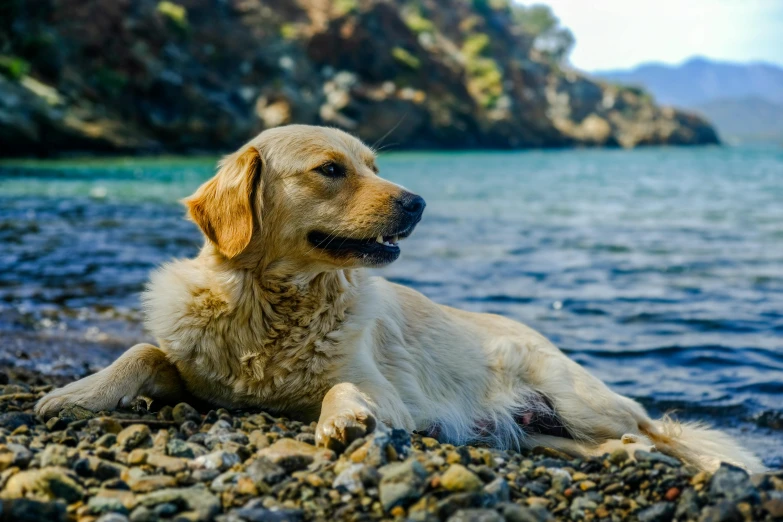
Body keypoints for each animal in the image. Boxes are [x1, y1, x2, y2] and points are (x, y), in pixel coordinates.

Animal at [36, 125, 764, 472]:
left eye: (374, 167)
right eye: (331, 169)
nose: (418, 202)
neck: (270, 302)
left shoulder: (384, 390)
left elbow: (343, 387)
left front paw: (343, 420)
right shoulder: (198, 371)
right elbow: (143, 352)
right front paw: (75, 393)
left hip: (579, 398)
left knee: (659, 431)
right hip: (538, 435)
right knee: (603, 445)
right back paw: (625, 459)